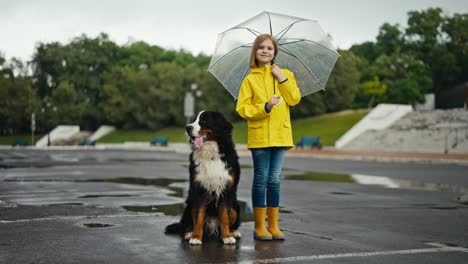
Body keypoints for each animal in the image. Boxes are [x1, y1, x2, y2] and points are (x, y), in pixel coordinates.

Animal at [165, 111, 241, 245]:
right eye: (193, 120)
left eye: (204, 121)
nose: (187, 127)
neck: (210, 155)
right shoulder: (198, 189)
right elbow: (198, 216)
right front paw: (196, 237)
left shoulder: (226, 190)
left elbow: (225, 217)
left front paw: (226, 237)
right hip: (189, 206)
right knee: (186, 225)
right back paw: (189, 233)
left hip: (235, 207)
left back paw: (233, 232)